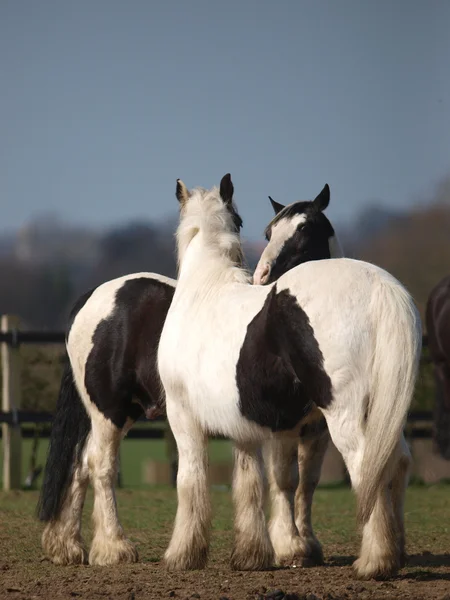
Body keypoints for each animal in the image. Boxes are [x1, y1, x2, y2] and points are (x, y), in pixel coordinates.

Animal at [37, 185, 338, 564]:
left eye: (305, 229)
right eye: (270, 233)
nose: (264, 276)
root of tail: (92, 297)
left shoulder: (316, 430)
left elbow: (307, 482)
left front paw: (306, 543)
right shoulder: (277, 425)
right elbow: (284, 479)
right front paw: (289, 546)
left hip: (122, 411)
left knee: (78, 466)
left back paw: (68, 546)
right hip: (110, 412)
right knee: (99, 465)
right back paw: (114, 547)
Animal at [157, 173, 422, 576]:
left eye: (305, 230)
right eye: (265, 231)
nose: (263, 275)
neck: (204, 289)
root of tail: (380, 286)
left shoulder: (183, 417)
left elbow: (191, 480)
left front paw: (183, 554)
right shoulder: (266, 428)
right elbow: (262, 483)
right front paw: (263, 553)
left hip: (346, 416)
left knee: (368, 465)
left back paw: (375, 561)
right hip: (383, 412)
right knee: (398, 461)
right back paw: (395, 551)